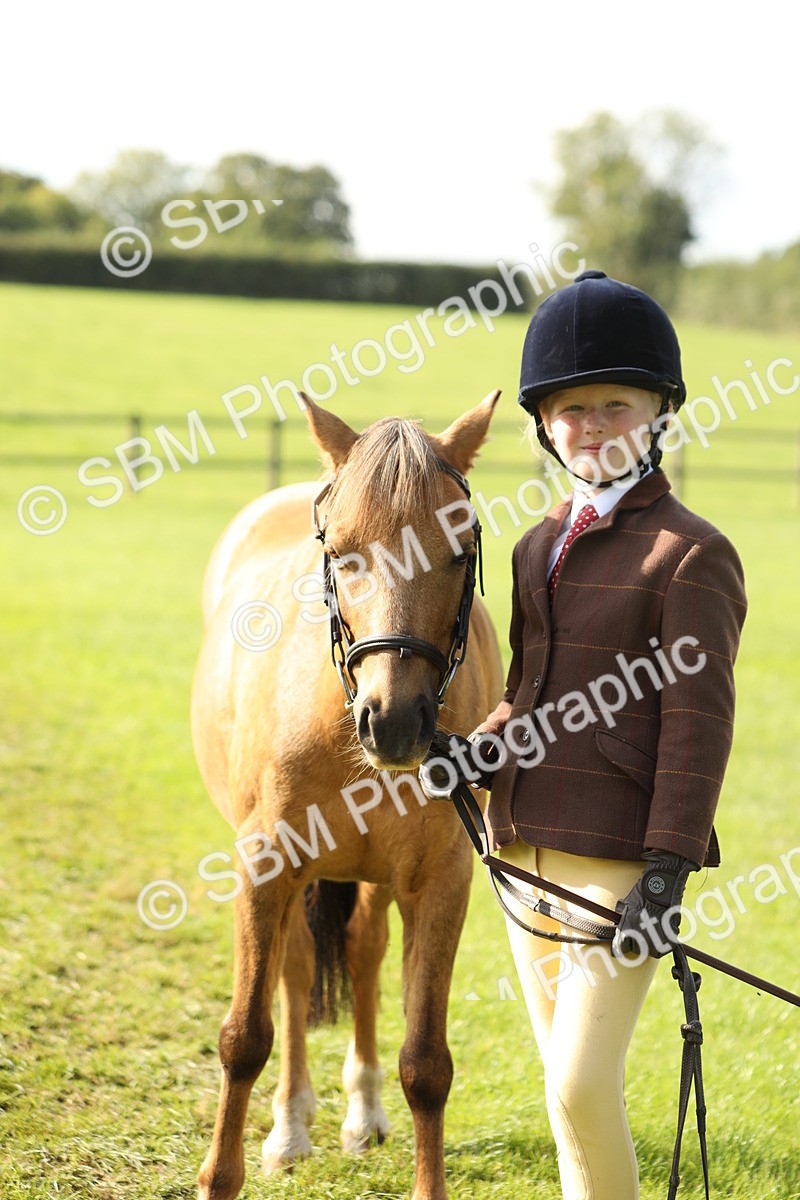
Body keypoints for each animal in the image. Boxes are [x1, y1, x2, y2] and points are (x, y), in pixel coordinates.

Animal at [191, 390, 504, 1200]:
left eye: (460, 550)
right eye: (339, 552)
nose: (394, 720)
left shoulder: (441, 881)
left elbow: (426, 1063)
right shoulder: (265, 865)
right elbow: (246, 1035)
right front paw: (225, 1172)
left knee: (362, 953)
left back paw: (361, 1112)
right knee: (297, 970)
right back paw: (291, 1125)